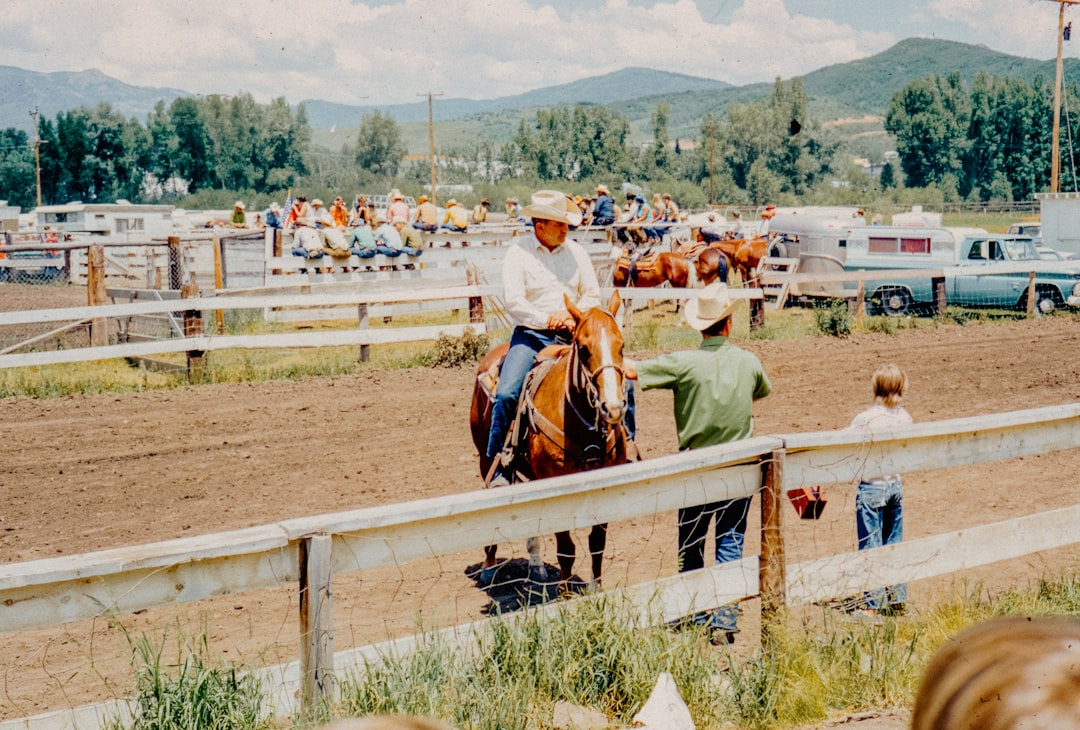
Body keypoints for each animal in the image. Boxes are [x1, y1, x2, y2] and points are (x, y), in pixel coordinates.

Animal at [466, 291, 630, 600]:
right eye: (584, 348)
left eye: (622, 346)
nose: (612, 408)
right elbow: (566, 549)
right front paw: (565, 596)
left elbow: (597, 542)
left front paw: (596, 589)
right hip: (486, 458)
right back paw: (489, 567)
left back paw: (537, 566)